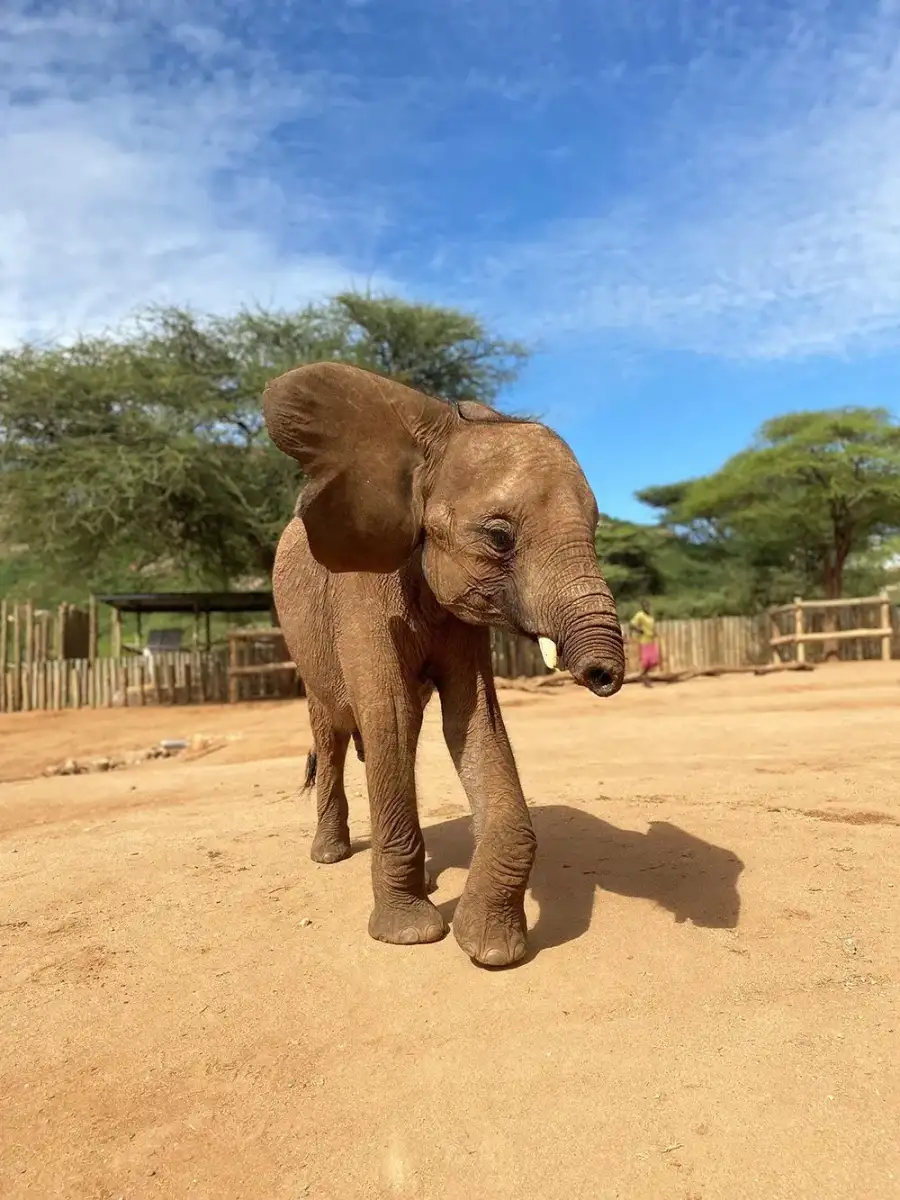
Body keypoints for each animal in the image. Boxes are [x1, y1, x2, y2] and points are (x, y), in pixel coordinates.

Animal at [264, 362, 625, 968]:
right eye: (499, 538)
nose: (604, 676)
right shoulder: (360, 590)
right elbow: (388, 715)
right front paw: (410, 935)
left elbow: (474, 722)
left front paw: (492, 949)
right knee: (335, 729)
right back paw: (331, 856)